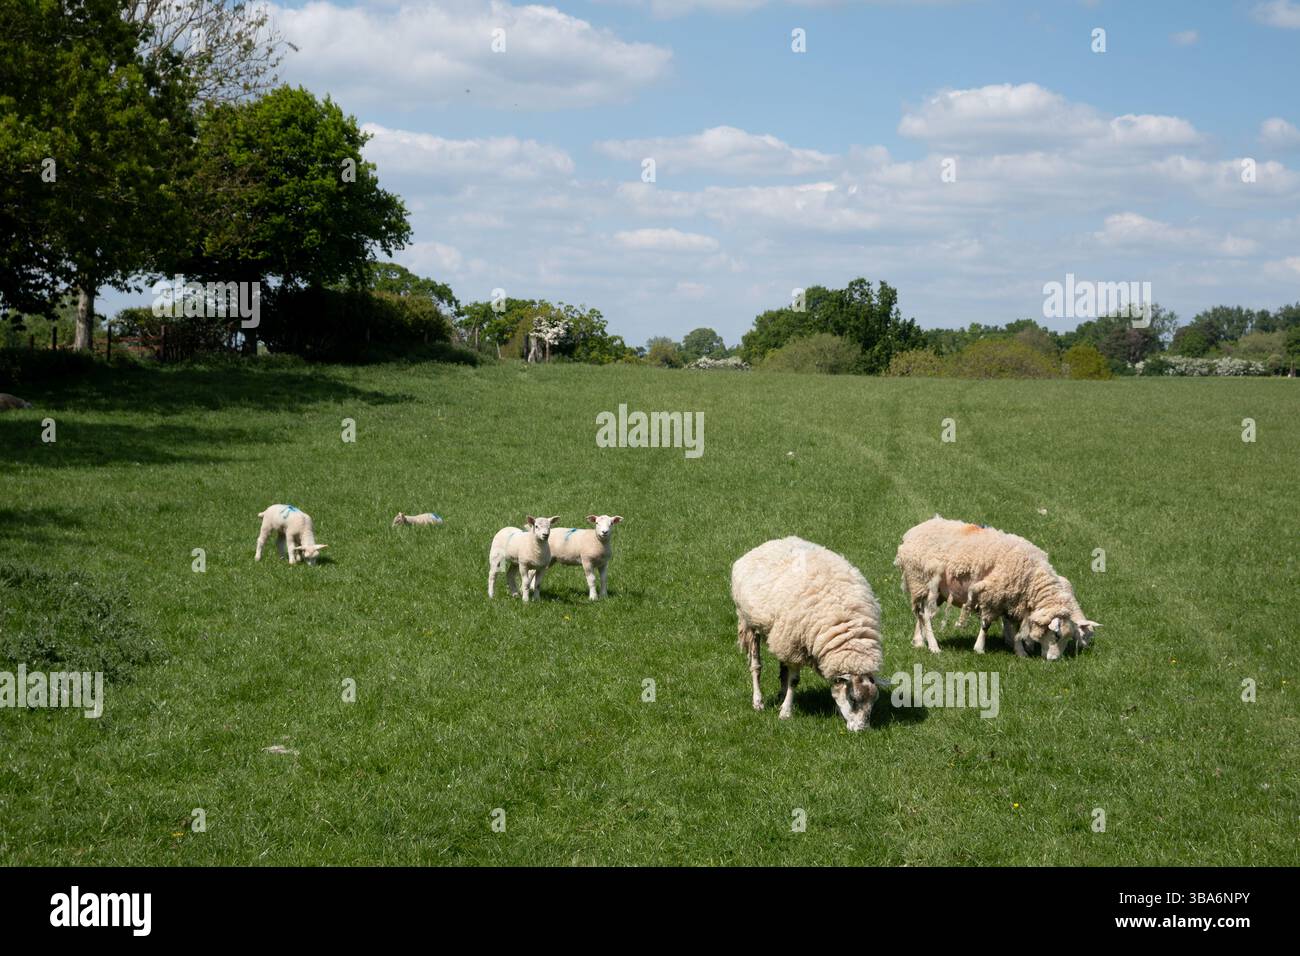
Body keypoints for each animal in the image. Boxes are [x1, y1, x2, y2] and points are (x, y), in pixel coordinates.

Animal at [731, 536, 885, 731]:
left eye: (873, 701)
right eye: (853, 699)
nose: (861, 731)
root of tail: (770, 543)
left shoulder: (793, 642)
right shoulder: (795, 645)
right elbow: (794, 681)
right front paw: (786, 713)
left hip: (781, 634)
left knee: (783, 666)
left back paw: (781, 694)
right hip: (751, 623)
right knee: (756, 666)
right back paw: (758, 702)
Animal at [894, 516, 1099, 660]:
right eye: (1056, 636)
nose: (1054, 660)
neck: (1031, 577)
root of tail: (911, 533)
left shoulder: (1013, 600)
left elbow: (1015, 628)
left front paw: (1020, 651)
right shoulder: (993, 595)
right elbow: (986, 624)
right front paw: (979, 648)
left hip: (931, 591)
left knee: (920, 614)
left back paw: (919, 641)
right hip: (922, 581)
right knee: (926, 615)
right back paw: (934, 646)